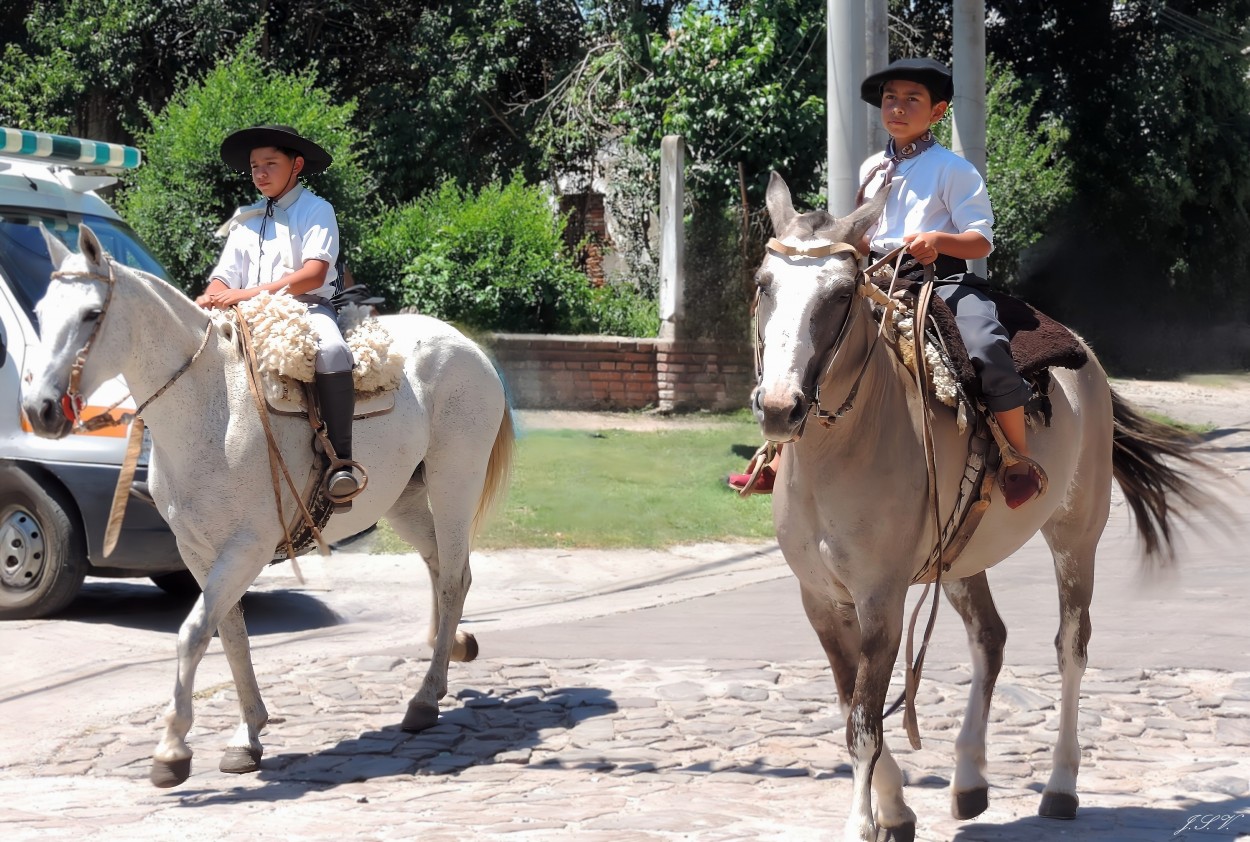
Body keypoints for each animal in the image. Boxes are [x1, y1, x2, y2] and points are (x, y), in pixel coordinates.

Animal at [19, 224, 510, 789]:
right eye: (42, 311)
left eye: (91, 313)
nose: (40, 409)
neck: (209, 406)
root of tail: (466, 346)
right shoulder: (199, 553)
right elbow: (229, 634)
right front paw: (246, 736)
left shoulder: (246, 549)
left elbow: (193, 633)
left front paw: (171, 749)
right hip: (405, 501)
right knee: (442, 567)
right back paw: (449, 652)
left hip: (455, 483)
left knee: (453, 578)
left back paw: (425, 699)